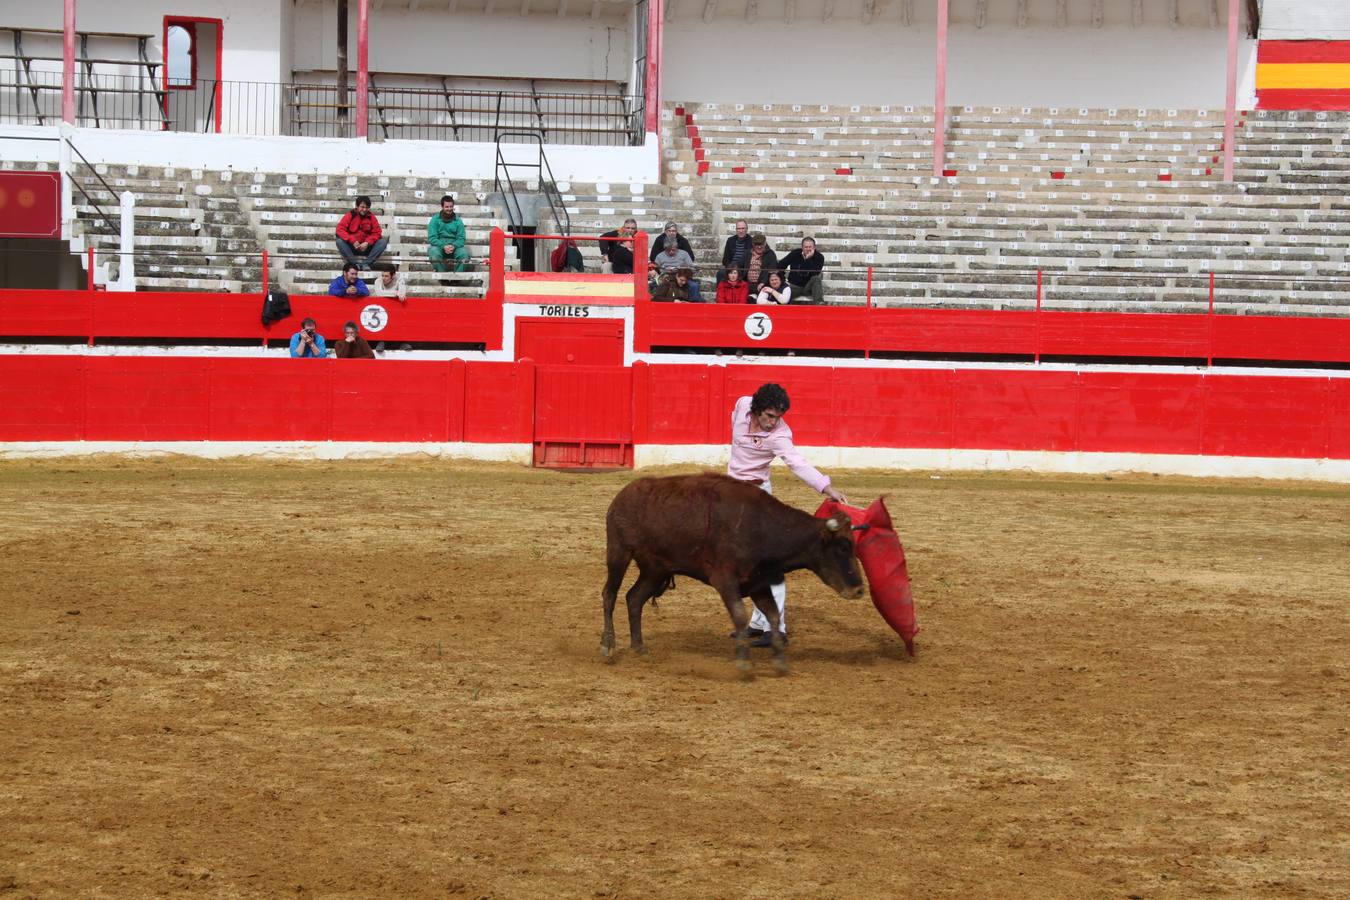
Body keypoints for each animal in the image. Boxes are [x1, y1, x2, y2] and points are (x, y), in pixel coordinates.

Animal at [599, 474, 864, 671]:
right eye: (842, 547)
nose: (859, 589)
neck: (761, 527)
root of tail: (623, 494)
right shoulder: (724, 579)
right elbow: (739, 614)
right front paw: (744, 662)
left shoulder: (758, 582)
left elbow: (772, 615)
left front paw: (779, 660)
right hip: (618, 552)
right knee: (610, 594)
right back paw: (607, 646)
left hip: (655, 569)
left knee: (634, 598)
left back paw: (638, 647)